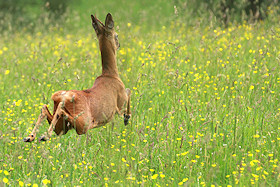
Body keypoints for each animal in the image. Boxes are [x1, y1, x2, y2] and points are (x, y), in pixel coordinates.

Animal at [23, 12, 131, 142]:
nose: (119, 45)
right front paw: (127, 118)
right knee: (61, 111)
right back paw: (43, 135)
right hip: (84, 123)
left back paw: (31, 136)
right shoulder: (120, 102)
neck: (111, 74)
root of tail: (63, 96)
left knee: (45, 108)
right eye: (116, 35)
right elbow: (129, 91)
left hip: (62, 127)